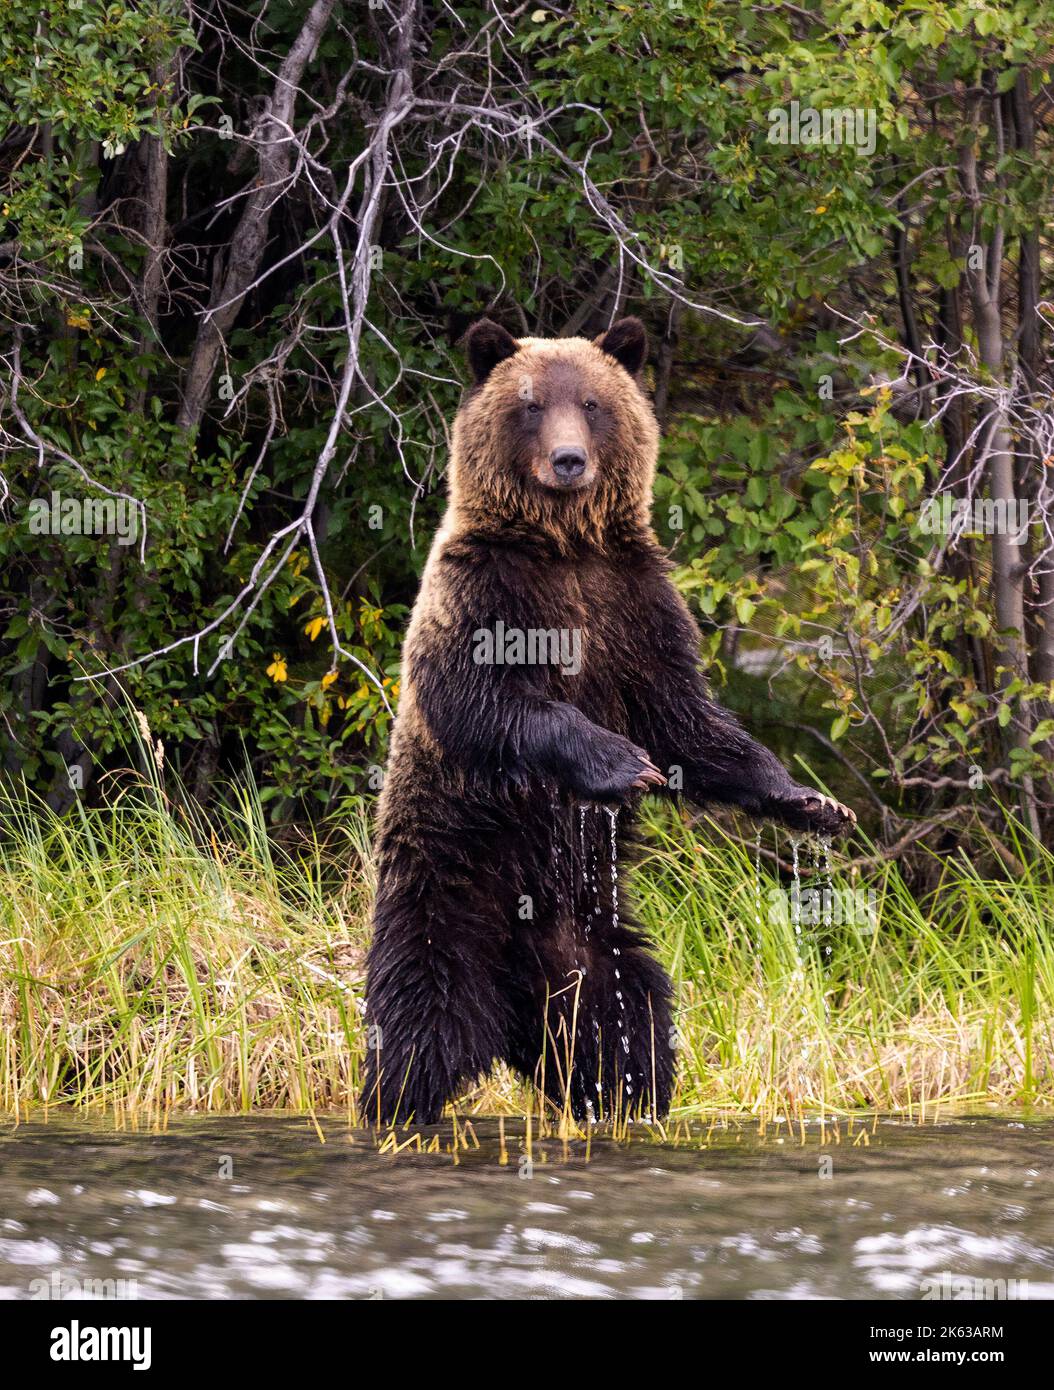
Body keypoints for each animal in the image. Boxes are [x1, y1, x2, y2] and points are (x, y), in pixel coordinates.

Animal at [358, 318, 856, 1128]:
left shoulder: (635, 605)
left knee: (629, 1028)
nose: (569, 461)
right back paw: (396, 1107)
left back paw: (631, 1099)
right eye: (530, 405)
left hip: (594, 948)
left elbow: (688, 721)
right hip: (444, 887)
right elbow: (484, 699)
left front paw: (813, 802)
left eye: (591, 404)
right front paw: (622, 764)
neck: (565, 545)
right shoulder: (486, 590)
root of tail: (513, 1004)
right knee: (417, 1024)